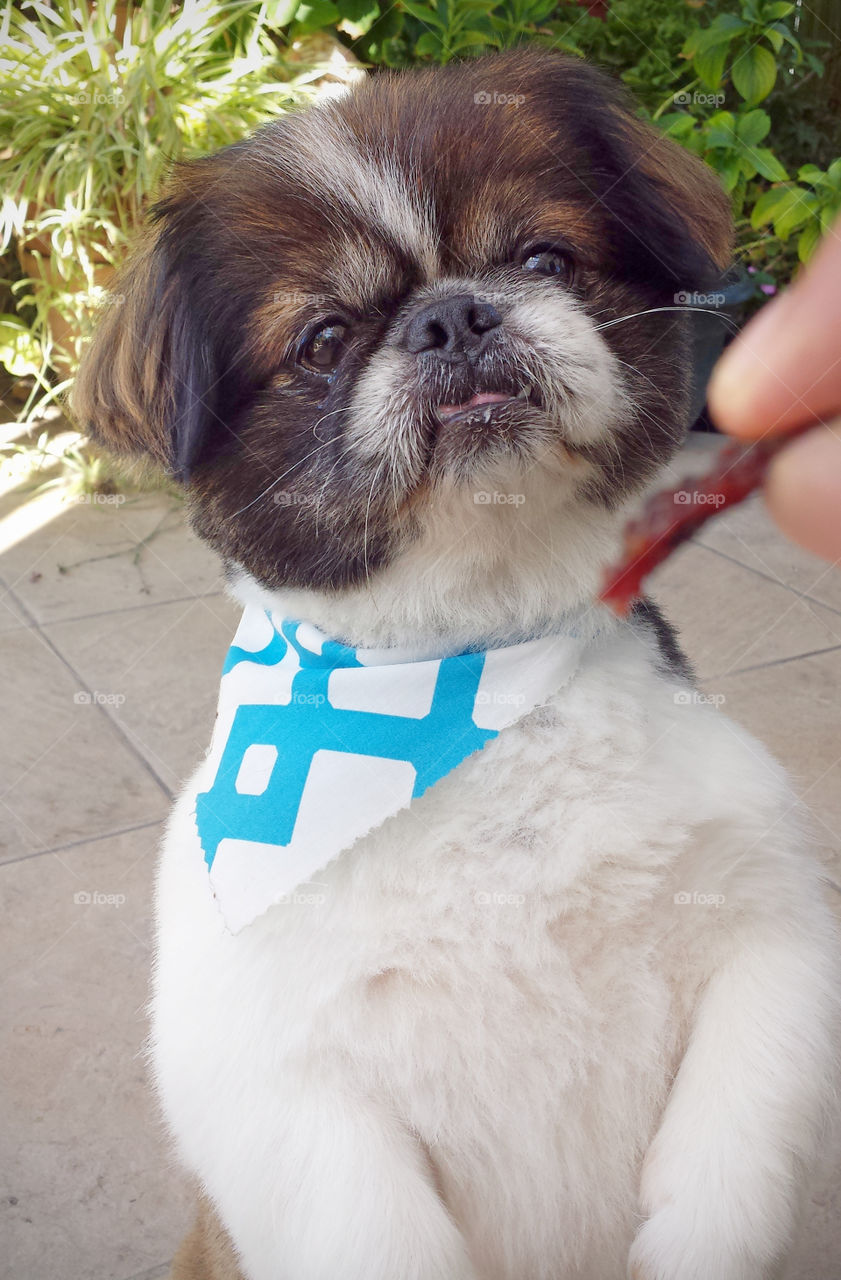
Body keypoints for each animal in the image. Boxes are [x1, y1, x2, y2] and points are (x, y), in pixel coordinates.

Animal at [75, 49, 834, 1280]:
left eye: (542, 260)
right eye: (324, 340)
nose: (451, 316)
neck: (473, 666)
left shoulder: (771, 928)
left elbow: (730, 1157)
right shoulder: (274, 1077)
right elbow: (371, 1229)